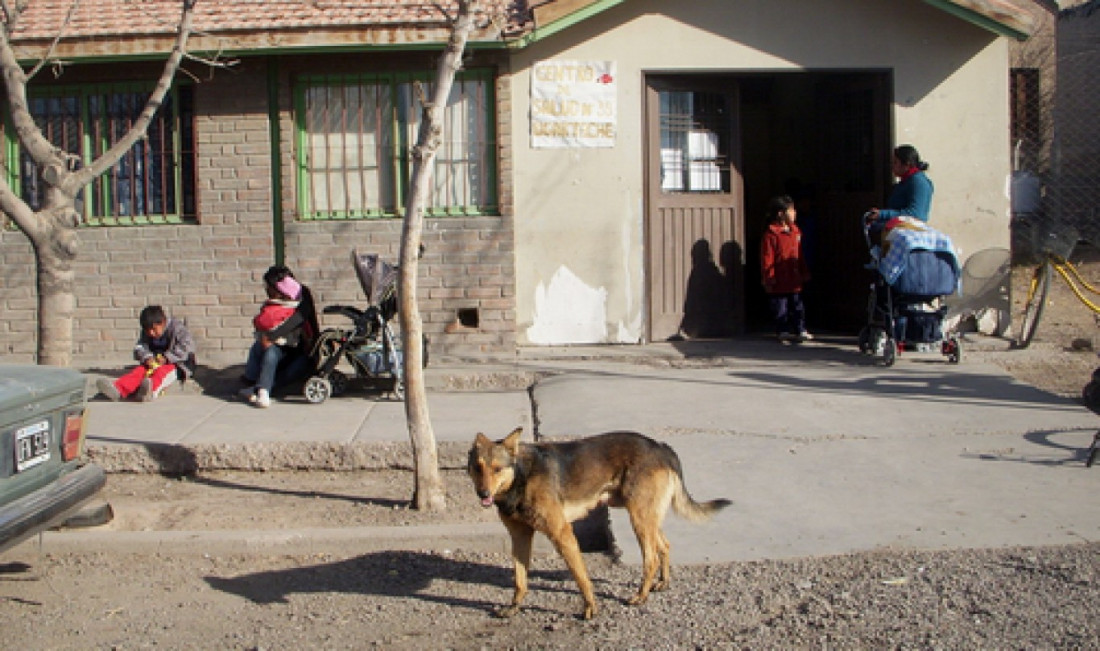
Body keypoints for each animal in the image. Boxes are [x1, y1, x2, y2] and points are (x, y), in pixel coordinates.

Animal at [466, 428, 730, 615]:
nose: (483, 494)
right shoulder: (520, 536)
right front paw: (513, 607)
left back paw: (641, 596)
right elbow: (520, 580)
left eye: (497, 469)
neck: (521, 476)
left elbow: (581, 577)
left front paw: (590, 607)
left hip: (639, 519)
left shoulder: (562, 533)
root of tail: (661, 447)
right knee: (664, 546)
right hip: (647, 517)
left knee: (651, 559)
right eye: (478, 468)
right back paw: (663, 583)